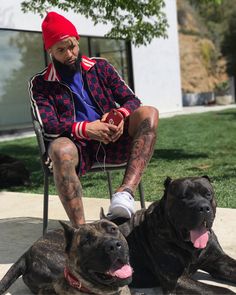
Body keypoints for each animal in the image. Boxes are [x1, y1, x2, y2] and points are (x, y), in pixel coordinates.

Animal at [105, 177, 236, 294]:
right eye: (183, 197)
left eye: (208, 194)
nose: (203, 207)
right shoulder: (176, 279)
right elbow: (222, 290)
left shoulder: (219, 261)